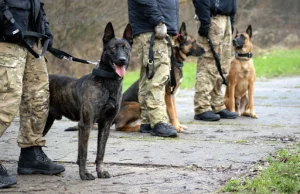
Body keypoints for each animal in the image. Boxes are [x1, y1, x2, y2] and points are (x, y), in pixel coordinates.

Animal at [44, 22, 133, 180]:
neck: (108, 82)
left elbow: (100, 152)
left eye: (126, 48)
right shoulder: (85, 124)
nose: (122, 60)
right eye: (113, 48)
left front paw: (101, 171)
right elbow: (83, 153)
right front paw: (84, 174)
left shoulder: (105, 124)